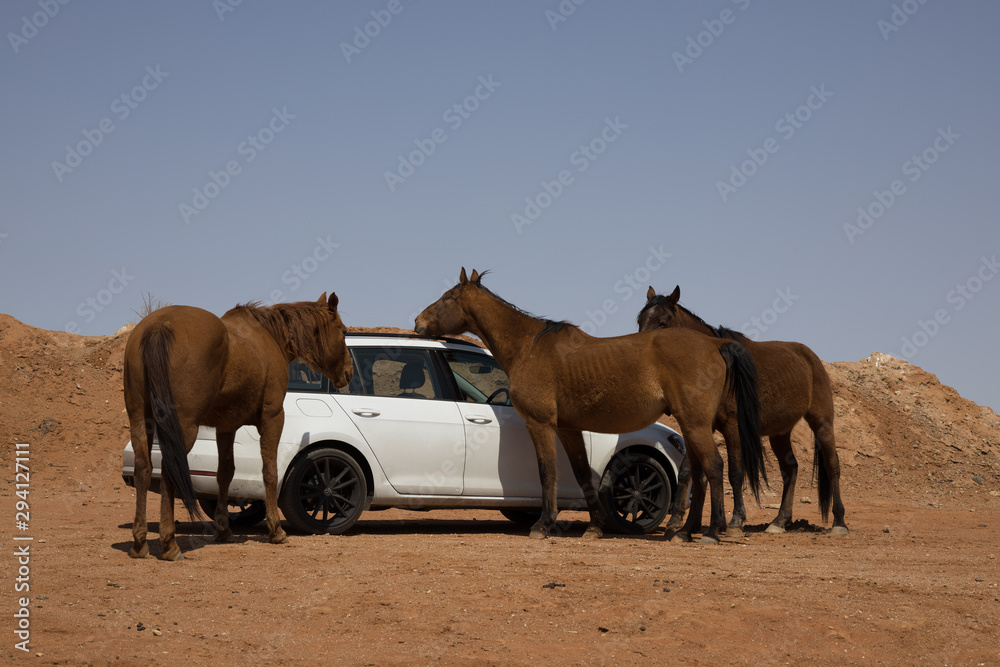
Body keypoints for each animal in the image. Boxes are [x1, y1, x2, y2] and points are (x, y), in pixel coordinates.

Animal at [123, 293, 352, 561]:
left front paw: (223, 529)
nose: (348, 372)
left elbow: (225, 473)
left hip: (141, 421)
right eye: (343, 331)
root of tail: (159, 326)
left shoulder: (226, 427)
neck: (270, 336)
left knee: (144, 468)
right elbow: (270, 471)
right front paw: (276, 530)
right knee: (170, 471)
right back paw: (169, 543)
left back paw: (140, 542)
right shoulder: (273, 417)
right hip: (183, 430)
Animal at [414, 269, 766, 544]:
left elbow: (547, 470)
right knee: (700, 472)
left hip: (695, 424)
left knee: (715, 467)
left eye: (448, 297)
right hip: (693, 425)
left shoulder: (540, 424)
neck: (529, 346)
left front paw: (544, 524)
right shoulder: (570, 429)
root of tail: (715, 343)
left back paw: (713, 531)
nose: (418, 321)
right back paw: (683, 532)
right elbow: (582, 473)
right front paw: (595, 527)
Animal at [638, 285, 847, 535]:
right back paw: (779, 521)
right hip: (780, 433)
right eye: (640, 320)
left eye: (663, 322)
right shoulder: (699, 426)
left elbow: (735, 473)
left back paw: (839, 522)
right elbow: (688, 470)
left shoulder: (732, 427)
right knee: (791, 469)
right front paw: (677, 520)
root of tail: (810, 357)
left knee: (832, 465)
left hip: (822, 422)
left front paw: (736, 521)